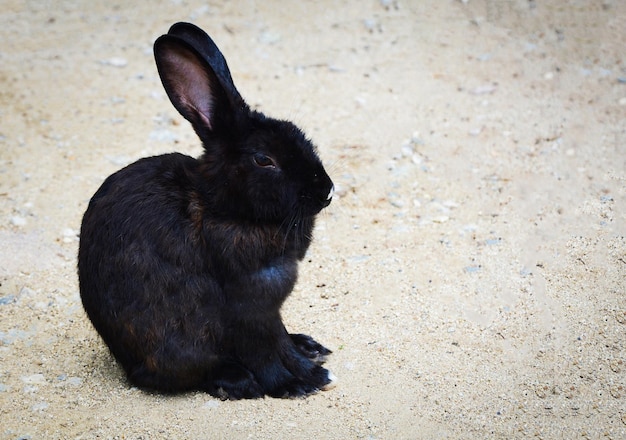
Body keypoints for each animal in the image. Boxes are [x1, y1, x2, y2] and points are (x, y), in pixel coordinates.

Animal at [77, 22, 336, 400]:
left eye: (299, 134)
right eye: (264, 160)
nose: (327, 191)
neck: (225, 208)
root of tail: (126, 364)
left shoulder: (266, 307)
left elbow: (279, 342)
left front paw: (308, 361)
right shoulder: (250, 305)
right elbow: (268, 350)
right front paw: (302, 381)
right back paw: (237, 381)